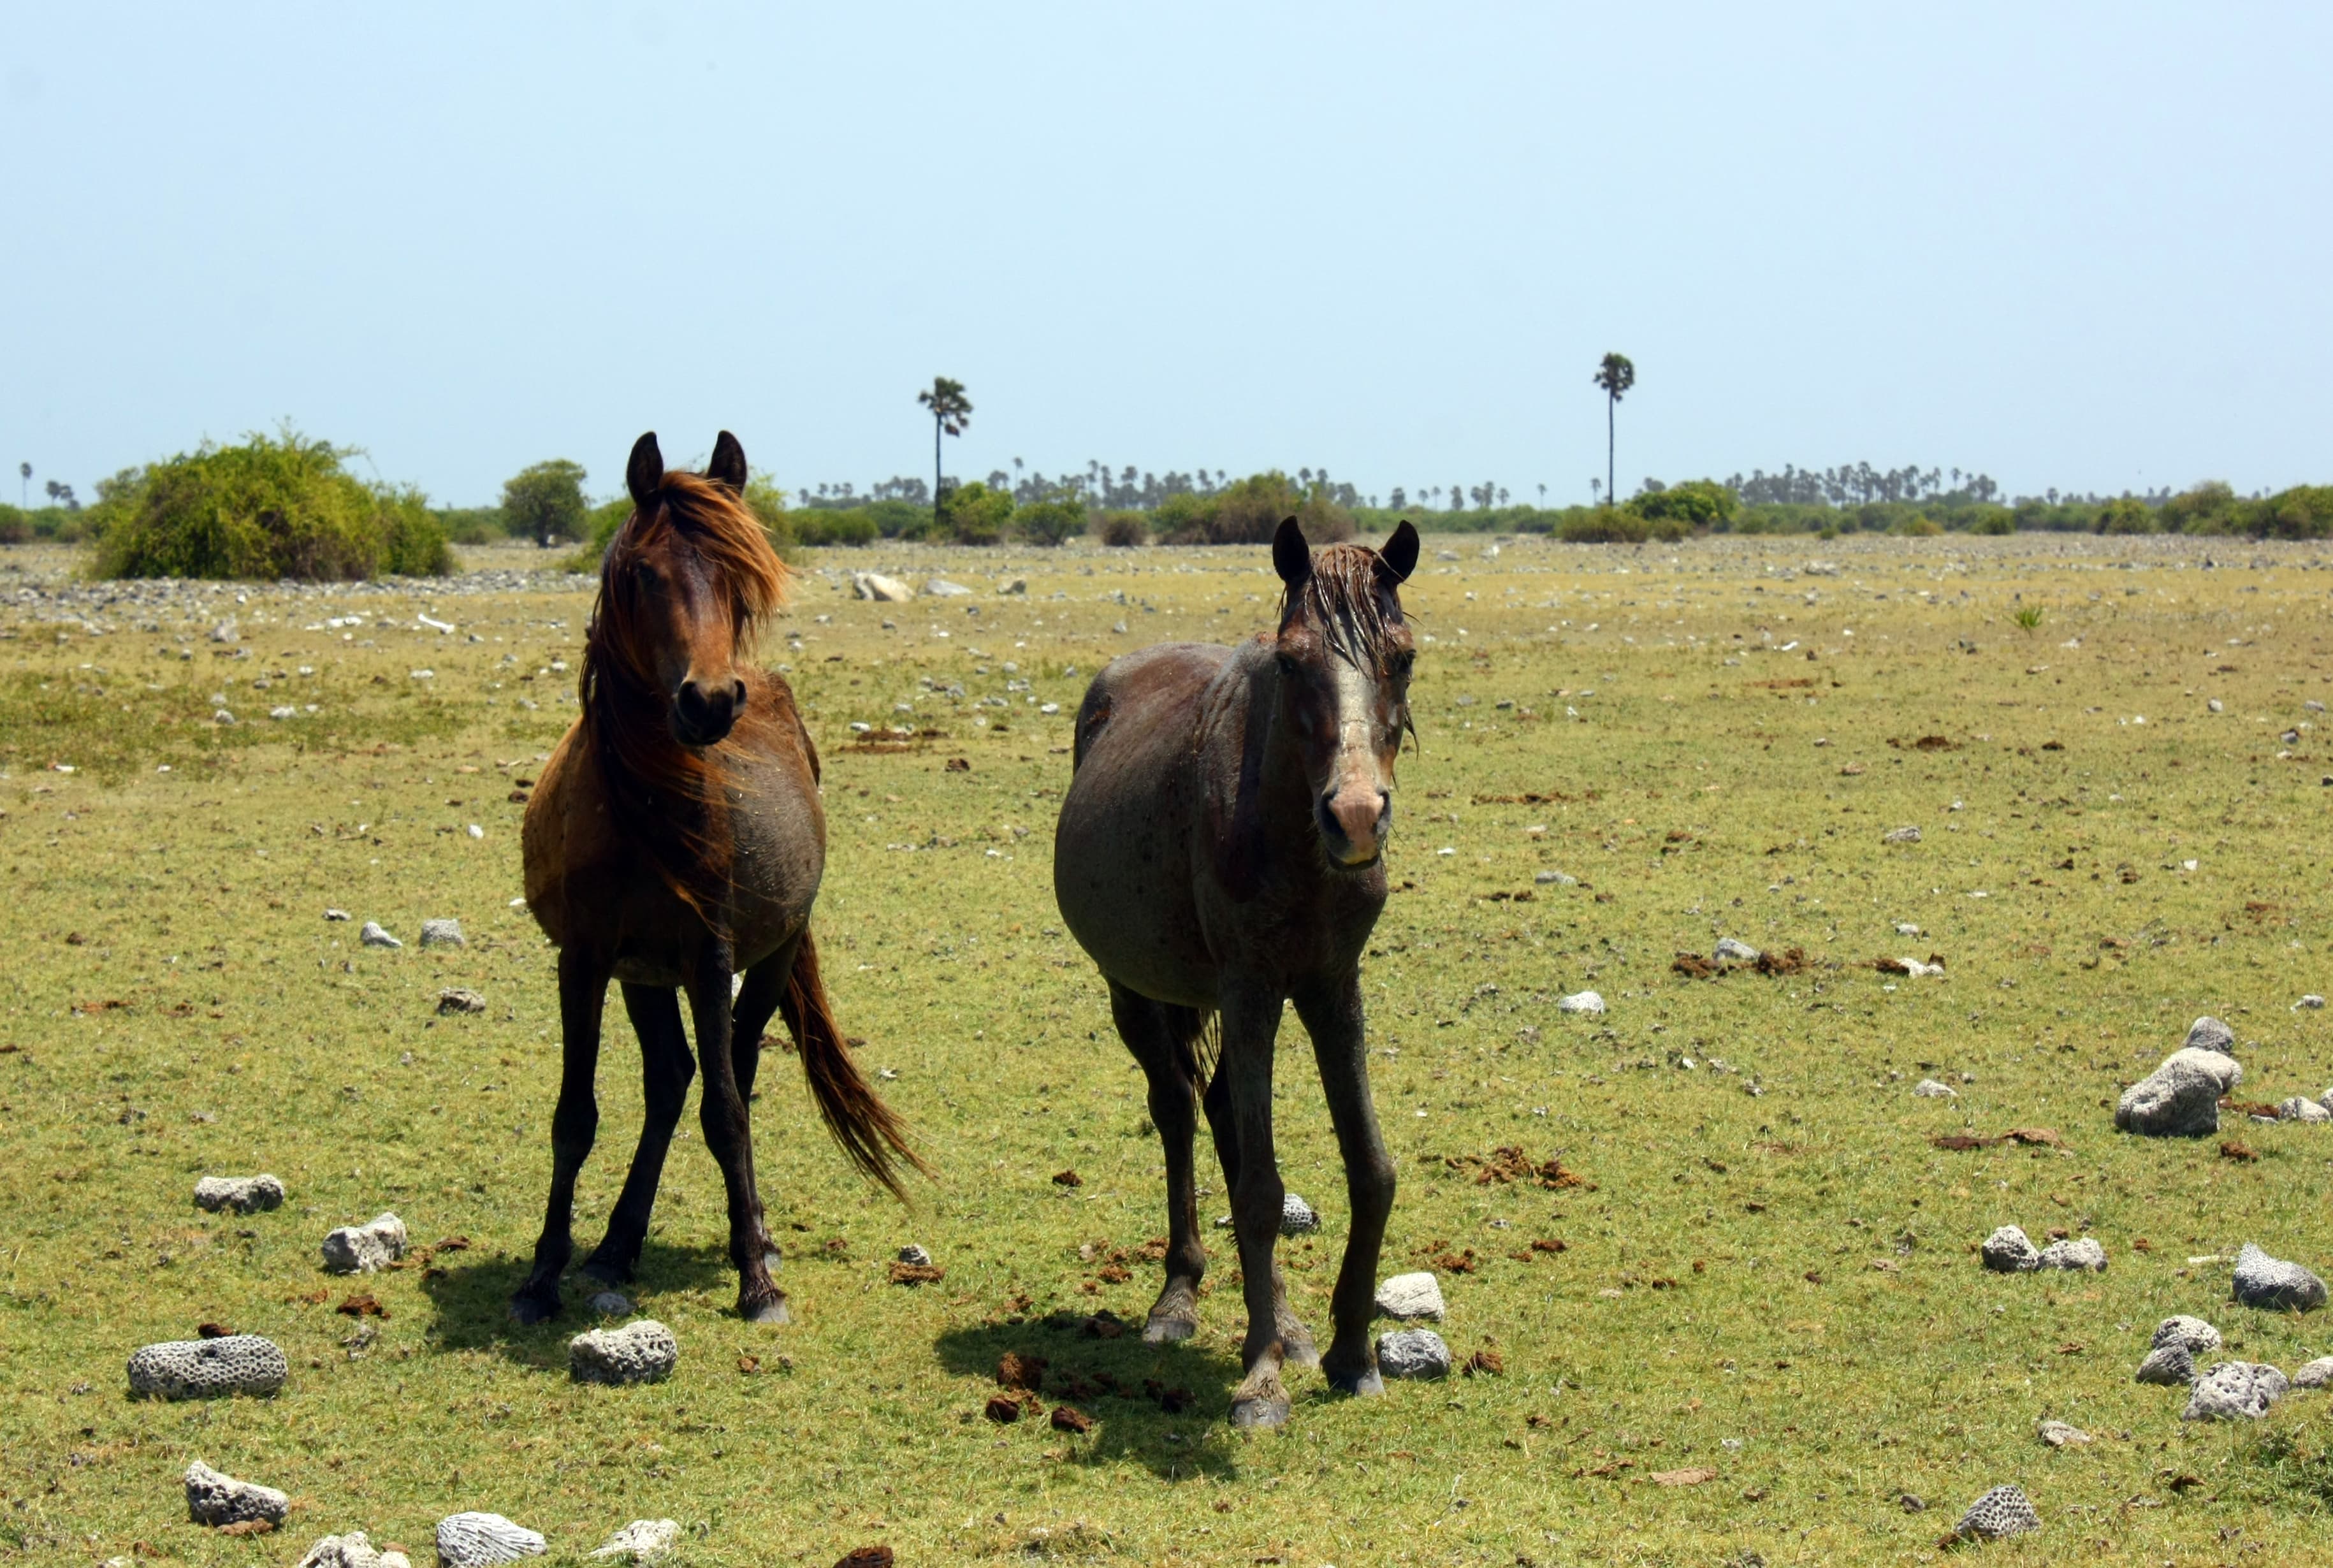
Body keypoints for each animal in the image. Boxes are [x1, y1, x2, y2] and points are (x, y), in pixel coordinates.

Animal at [513, 430, 923, 1326]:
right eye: (642, 574)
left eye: (740, 576)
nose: (708, 701)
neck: (641, 809)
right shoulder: (584, 961)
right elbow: (574, 1116)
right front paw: (542, 1274)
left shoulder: (711, 956)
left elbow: (728, 1113)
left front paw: (757, 1282)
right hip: (644, 976)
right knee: (669, 1083)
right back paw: (616, 1247)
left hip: (765, 962)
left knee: (731, 1071)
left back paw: (751, 1237)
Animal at [1053, 516, 1421, 1427]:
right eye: (1290, 661)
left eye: (1403, 657)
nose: (1354, 816)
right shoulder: (1252, 988)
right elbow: (1257, 1192)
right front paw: (1260, 1379)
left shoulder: (1332, 987)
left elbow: (1371, 1170)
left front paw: (1350, 1353)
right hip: (1136, 993)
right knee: (1180, 1111)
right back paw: (1178, 1299)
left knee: (1219, 1110)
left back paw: (1287, 1323)